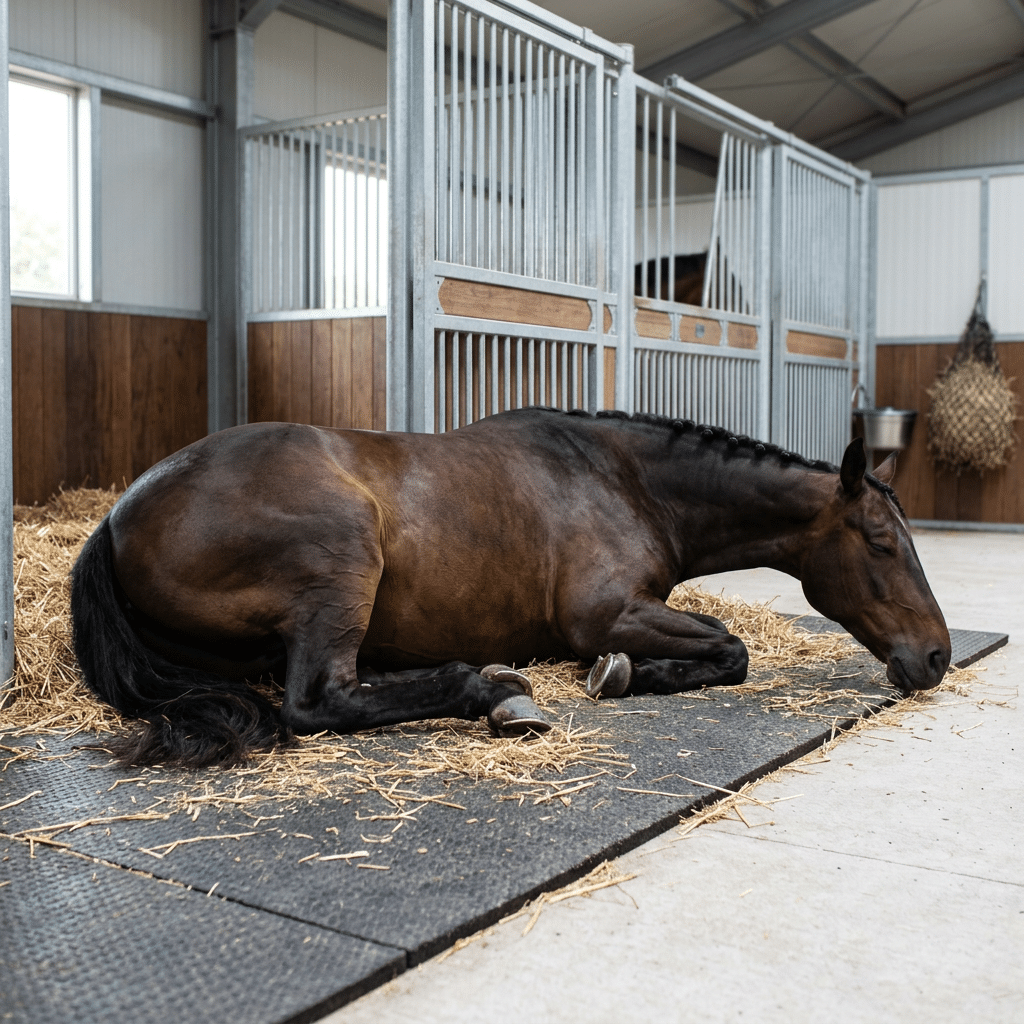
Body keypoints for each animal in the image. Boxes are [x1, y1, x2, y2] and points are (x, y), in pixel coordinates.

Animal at [70, 408, 951, 769]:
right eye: (881, 543)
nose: (938, 657)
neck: (627, 481)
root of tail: (116, 516)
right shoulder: (605, 614)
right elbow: (731, 649)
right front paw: (621, 675)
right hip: (341, 561)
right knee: (319, 700)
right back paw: (492, 692)